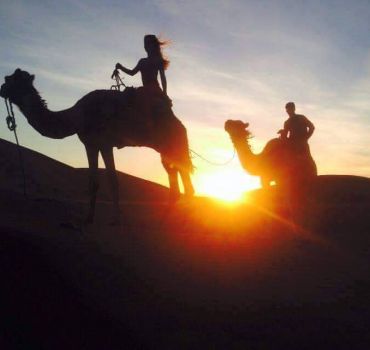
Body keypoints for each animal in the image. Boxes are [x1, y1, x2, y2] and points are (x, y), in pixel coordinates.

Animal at [0, 68, 195, 224]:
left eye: (10, 79)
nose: (1, 89)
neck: (77, 117)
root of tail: (179, 124)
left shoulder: (103, 143)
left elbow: (112, 180)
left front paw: (115, 219)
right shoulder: (92, 144)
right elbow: (94, 182)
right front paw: (89, 218)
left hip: (172, 144)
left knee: (184, 181)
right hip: (166, 150)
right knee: (177, 179)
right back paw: (165, 220)